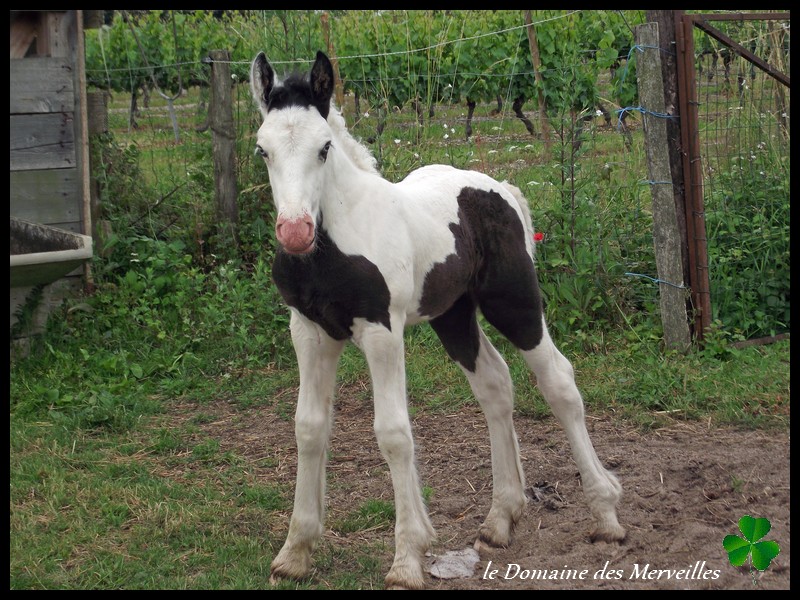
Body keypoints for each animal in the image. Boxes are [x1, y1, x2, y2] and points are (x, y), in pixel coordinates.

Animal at [250, 51, 624, 592]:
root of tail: (500, 187)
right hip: (453, 315)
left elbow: (393, 432)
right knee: (495, 385)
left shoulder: (381, 331)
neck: (337, 239)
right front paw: (296, 550)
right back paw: (500, 518)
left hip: (515, 303)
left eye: (324, 148)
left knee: (558, 380)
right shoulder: (309, 332)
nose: (295, 232)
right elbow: (309, 426)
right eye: (263, 150)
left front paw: (407, 558)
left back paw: (606, 512)